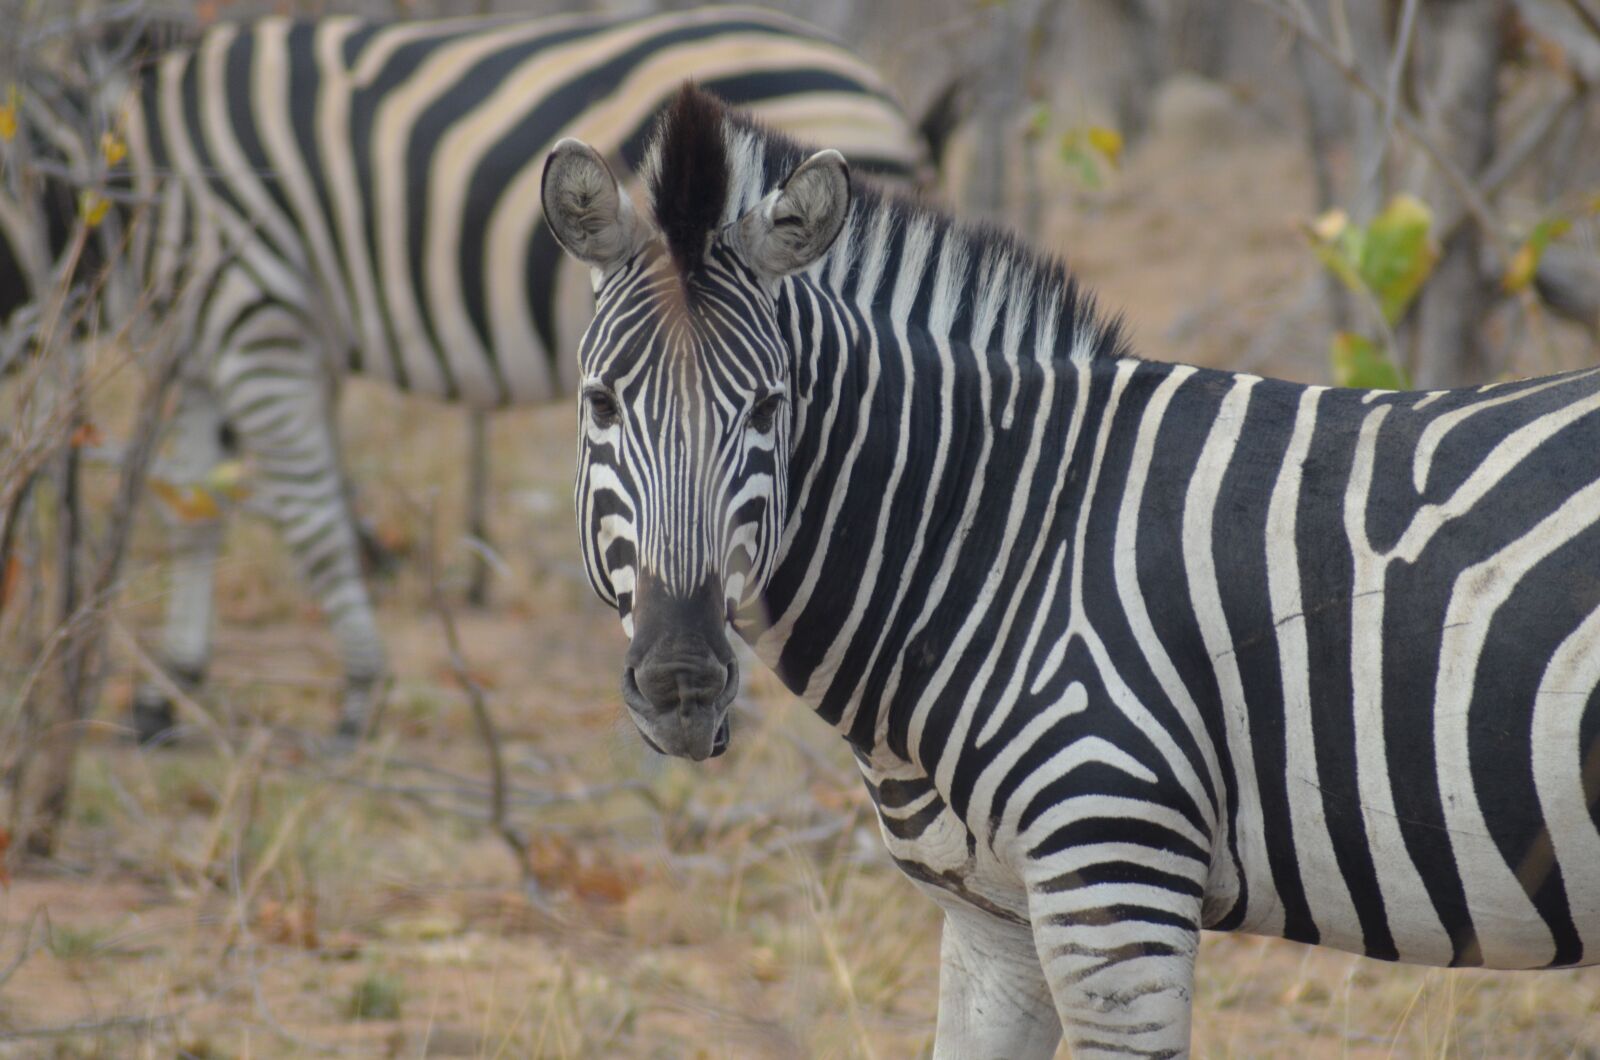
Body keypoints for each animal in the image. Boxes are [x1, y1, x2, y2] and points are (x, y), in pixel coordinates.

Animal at [0, 7, 934, 743]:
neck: (125, 174)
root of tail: (872, 86)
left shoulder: (259, 310)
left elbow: (311, 518)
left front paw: (360, 693)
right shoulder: (199, 339)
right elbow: (197, 508)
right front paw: (170, 692)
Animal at [543, 83, 1600, 1058]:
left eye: (768, 408)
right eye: (600, 403)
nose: (682, 684)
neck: (1003, 546)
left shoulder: (1118, 889)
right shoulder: (994, 924)